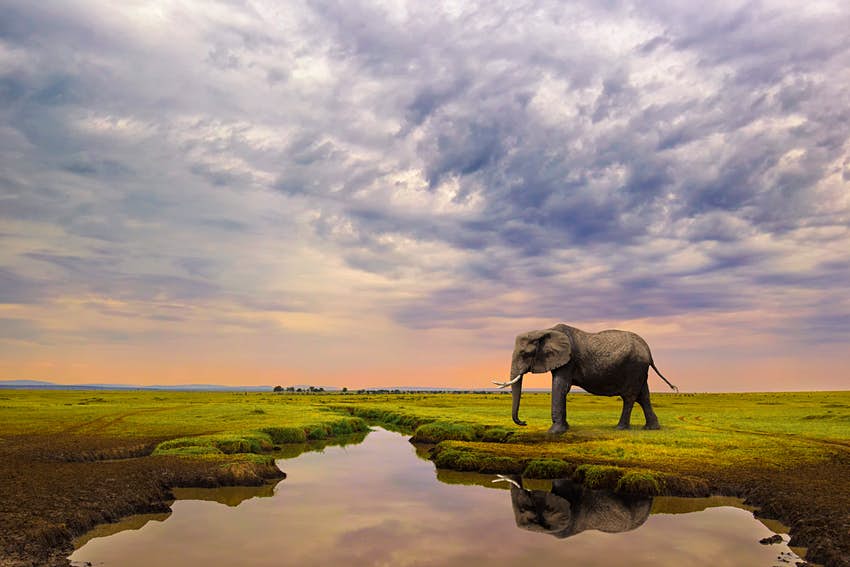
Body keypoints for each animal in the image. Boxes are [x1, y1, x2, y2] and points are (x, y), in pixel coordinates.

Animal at [492, 324, 677, 432]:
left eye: (525, 354)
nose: (524, 422)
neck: (543, 330)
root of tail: (649, 351)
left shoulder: (568, 360)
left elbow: (560, 386)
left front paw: (554, 432)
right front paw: (565, 428)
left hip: (634, 367)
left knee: (630, 397)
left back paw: (620, 428)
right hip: (640, 370)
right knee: (643, 396)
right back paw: (651, 428)